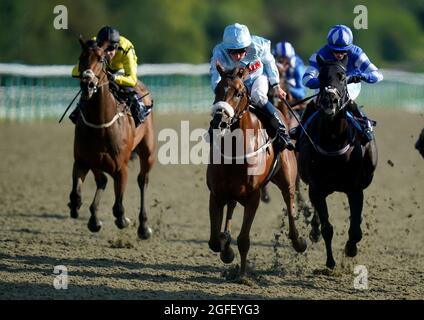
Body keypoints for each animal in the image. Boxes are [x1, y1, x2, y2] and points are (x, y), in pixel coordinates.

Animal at [68, 37, 156, 239]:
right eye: (81, 58)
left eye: (101, 59)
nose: (87, 84)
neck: (100, 125)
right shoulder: (83, 161)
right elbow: (76, 194)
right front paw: (82, 212)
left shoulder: (121, 168)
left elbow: (118, 207)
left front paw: (124, 220)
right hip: (97, 163)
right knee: (102, 180)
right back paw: (94, 218)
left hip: (147, 151)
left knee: (143, 180)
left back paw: (144, 227)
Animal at [207, 61, 306, 278]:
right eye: (217, 90)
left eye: (238, 93)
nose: (219, 122)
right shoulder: (216, 193)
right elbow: (214, 241)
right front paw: (226, 248)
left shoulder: (253, 196)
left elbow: (244, 240)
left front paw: (243, 276)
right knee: (231, 207)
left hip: (286, 177)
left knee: (290, 202)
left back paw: (298, 241)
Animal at [298, 55, 378, 270]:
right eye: (321, 77)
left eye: (343, 77)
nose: (329, 100)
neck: (334, 140)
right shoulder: (317, 188)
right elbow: (327, 227)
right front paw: (330, 262)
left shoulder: (355, 189)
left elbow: (355, 229)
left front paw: (351, 249)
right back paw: (314, 230)